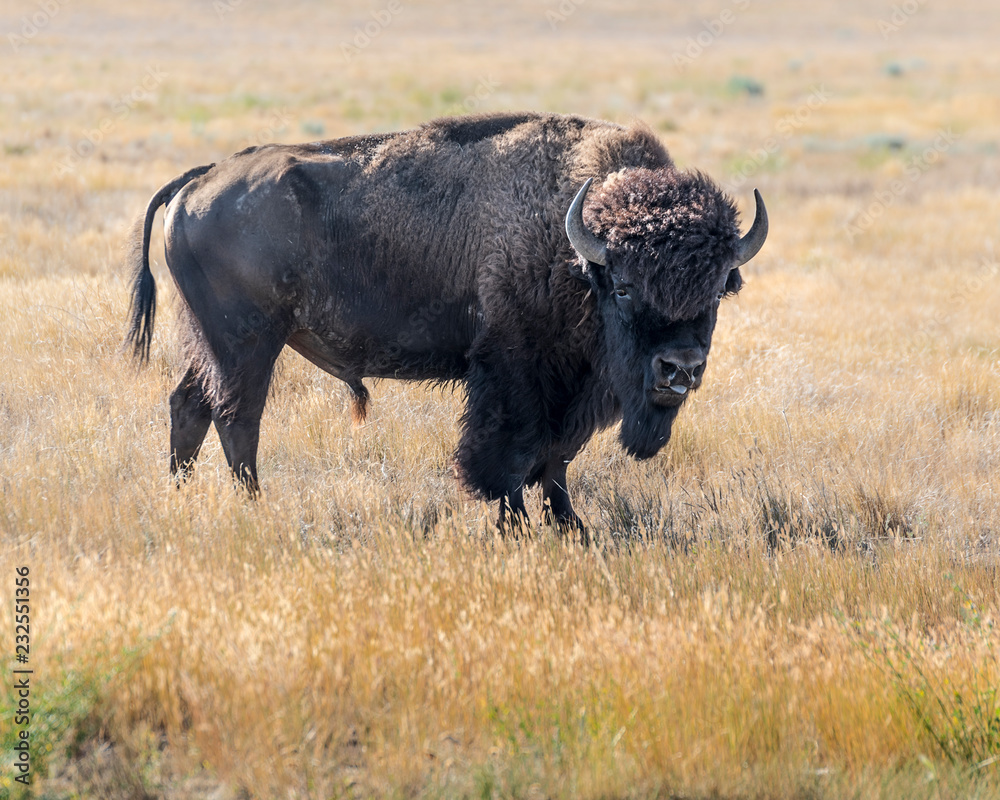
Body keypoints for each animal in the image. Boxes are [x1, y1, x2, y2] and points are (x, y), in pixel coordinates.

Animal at [125, 108, 764, 532]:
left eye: (716, 292)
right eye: (626, 287)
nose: (680, 369)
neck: (574, 247)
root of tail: (199, 180)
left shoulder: (571, 388)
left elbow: (555, 457)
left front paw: (570, 527)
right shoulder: (513, 375)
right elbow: (509, 457)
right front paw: (515, 526)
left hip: (210, 341)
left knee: (190, 405)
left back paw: (181, 497)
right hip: (249, 342)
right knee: (238, 418)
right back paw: (255, 507)